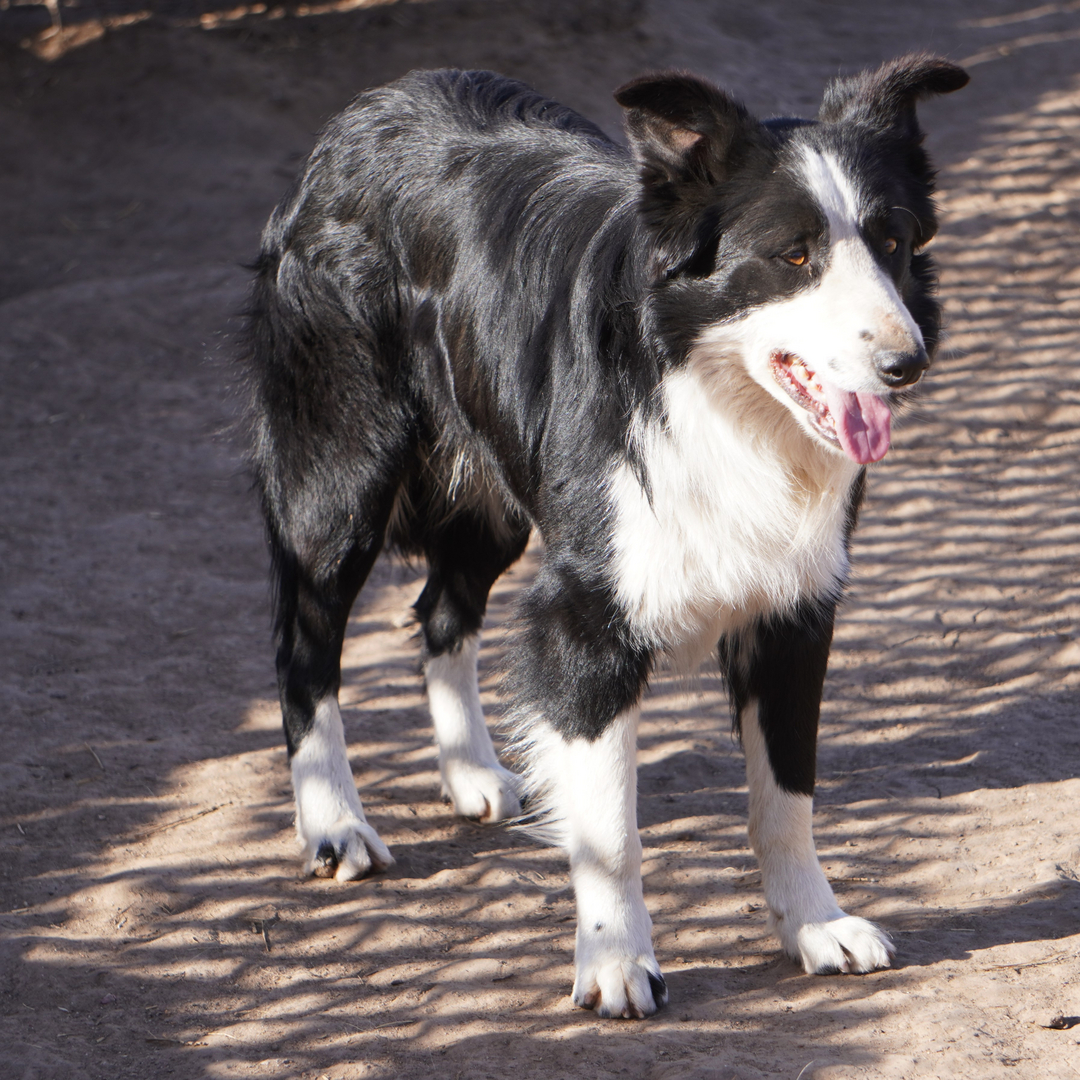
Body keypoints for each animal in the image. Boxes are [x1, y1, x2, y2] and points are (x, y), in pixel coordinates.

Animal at [245, 56, 972, 1019]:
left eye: (891, 241)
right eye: (794, 257)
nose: (907, 364)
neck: (715, 399)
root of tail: (370, 108)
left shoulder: (794, 610)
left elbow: (788, 796)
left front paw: (815, 925)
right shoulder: (587, 613)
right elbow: (611, 832)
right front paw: (616, 961)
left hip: (496, 502)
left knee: (443, 611)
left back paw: (471, 773)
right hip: (342, 478)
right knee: (307, 641)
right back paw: (334, 824)